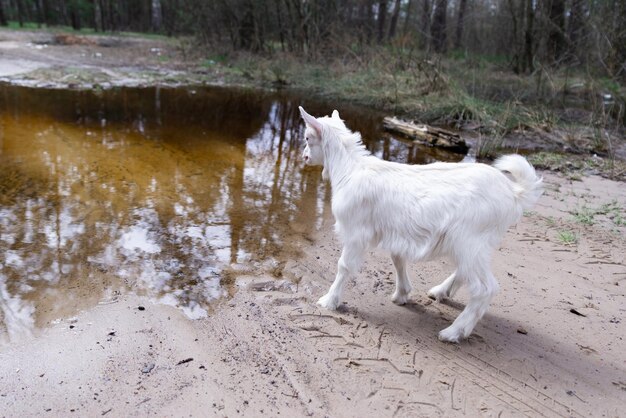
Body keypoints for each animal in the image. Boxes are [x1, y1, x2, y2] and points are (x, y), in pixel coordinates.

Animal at [298, 105, 540, 342]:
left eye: (308, 137)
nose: (304, 157)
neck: (349, 169)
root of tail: (513, 192)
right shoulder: (394, 230)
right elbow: (398, 259)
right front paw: (402, 294)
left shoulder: (355, 231)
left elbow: (344, 266)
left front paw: (329, 301)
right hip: (473, 243)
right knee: (466, 271)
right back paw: (441, 292)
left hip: (469, 239)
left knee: (485, 288)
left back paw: (453, 332)